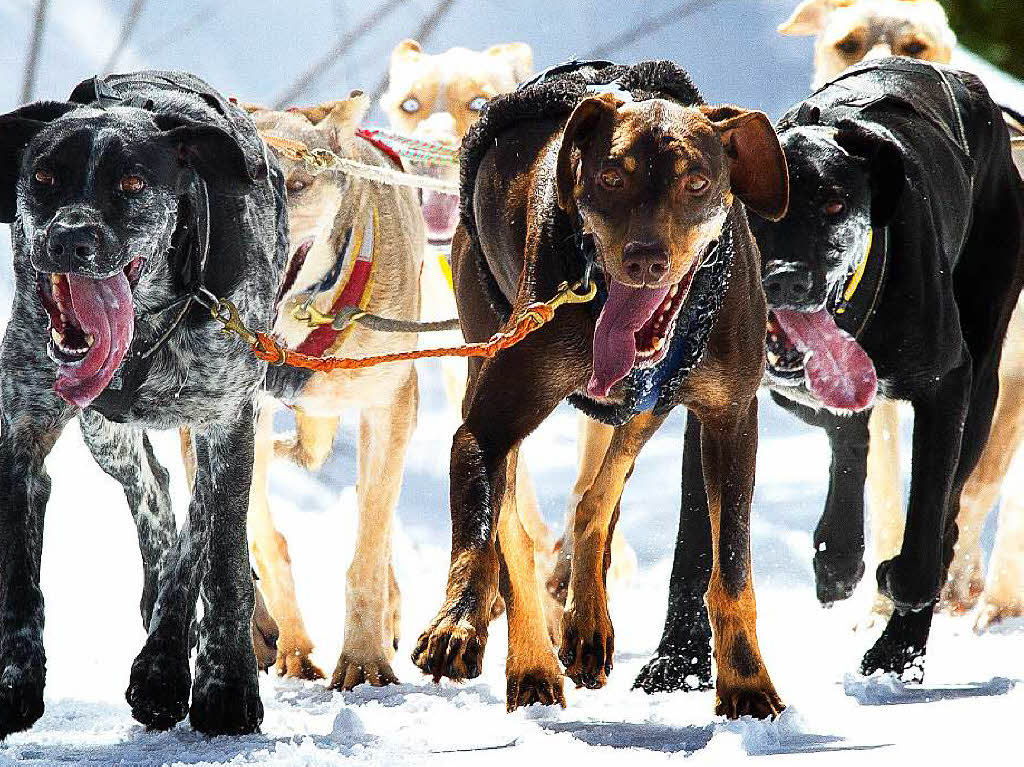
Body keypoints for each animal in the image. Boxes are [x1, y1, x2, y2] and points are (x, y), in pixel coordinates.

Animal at [0, 71, 288, 737]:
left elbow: (218, 557)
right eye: (44, 177)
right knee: (153, 495)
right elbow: (19, 578)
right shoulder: (24, 433)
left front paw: (218, 683)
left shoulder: (227, 421)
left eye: (131, 186)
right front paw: (16, 680)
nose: (69, 240)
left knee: (193, 527)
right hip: (107, 436)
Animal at [411, 62, 786, 716]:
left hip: (646, 407)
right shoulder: (487, 429)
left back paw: (585, 617)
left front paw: (745, 680)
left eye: (696, 182)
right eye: (611, 178)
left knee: (595, 500)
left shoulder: (731, 419)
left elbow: (732, 567)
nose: (645, 259)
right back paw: (532, 664)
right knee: (514, 528)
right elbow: (482, 534)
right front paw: (458, 619)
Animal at [778, 0, 1019, 626]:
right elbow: (861, 460)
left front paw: (916, 581)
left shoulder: (953, 384)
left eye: (835, 205)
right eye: (844, 41)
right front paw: (844, 561)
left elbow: (940, 490)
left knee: (969, 485)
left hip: (988, 369)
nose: (786, 278)